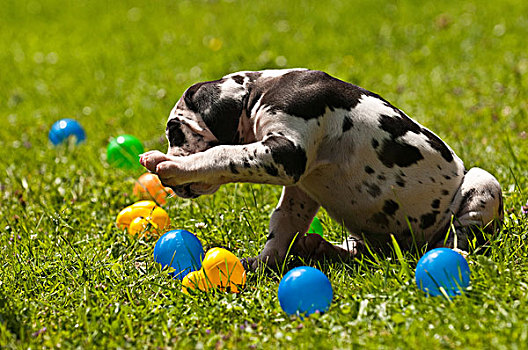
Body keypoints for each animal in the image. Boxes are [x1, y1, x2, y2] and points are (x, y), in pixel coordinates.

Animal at [140, 69, 504, 270]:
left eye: (175, 132)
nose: (174, 189)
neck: (263, 91)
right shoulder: (300, 187)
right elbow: (283, 224)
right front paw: (262, 264)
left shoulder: (285, 153)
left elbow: (223, 154)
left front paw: (174, 165)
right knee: (361, 252)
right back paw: (321, 248)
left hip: (481, 184)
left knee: (464, 234)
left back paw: (456, 254)